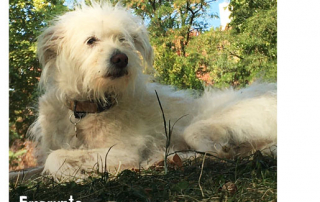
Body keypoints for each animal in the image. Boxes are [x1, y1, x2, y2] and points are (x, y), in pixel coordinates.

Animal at [28, 0, 276, 179]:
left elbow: (55, 159)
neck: (86, 108)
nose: (121, 58)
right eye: (91, 40)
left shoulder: (123, 151)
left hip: (209, 124)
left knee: (218, 151)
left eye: (123, 39)